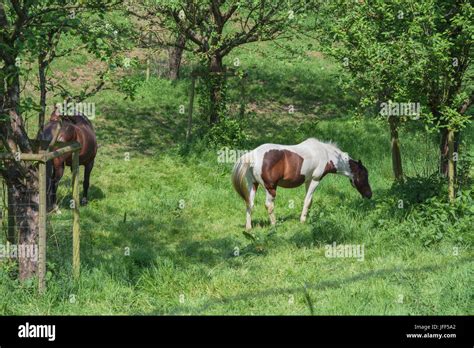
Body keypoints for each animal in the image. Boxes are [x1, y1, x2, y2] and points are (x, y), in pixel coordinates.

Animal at [231, 137, 372, 230]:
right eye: (364, 175)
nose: (369, 195)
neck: (325, 154)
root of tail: (252, 155)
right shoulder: (315, 180)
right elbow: (307, 201)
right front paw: (303, 220)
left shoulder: (308, 180)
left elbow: (310, 201)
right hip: (270, 188)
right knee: (269, 205)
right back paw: (274, 225)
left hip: (253, 184)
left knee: (249, 203)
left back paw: (248, 227)